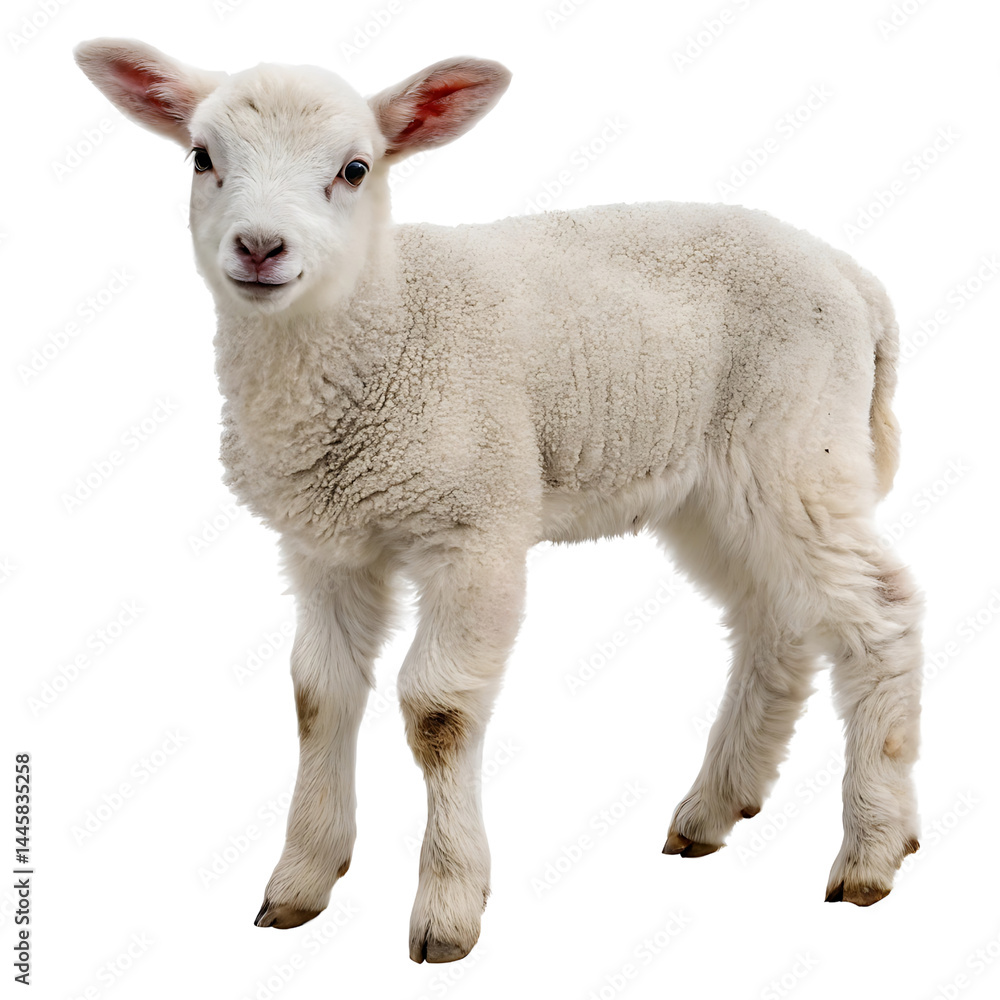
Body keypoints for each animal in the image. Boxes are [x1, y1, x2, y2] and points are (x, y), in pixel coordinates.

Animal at [74, 38, 923, 963]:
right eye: (202, 158)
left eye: (355, 168)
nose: (260, 247)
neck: (383, 322)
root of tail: (853, 277)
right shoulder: (325, 543)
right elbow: (317, 696)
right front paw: (301, 880)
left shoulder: (473, 526)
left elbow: (437, 711)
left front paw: (448, 907)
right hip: (714, 486)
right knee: (773, 621)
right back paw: (713, 809)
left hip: (794, 449)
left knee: (881, 612)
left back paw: (874, 850)